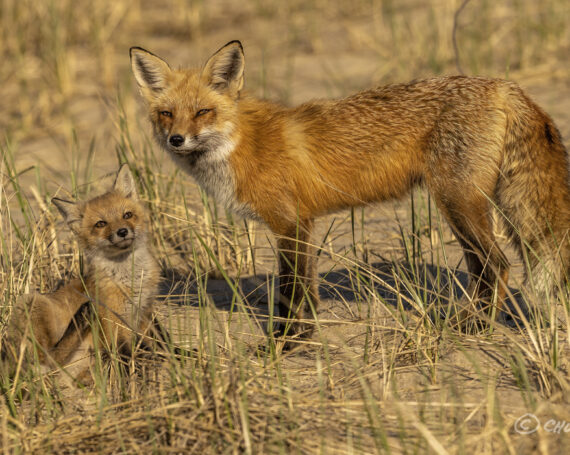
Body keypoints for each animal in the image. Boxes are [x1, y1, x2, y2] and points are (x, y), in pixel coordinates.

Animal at [129, 41, 568, 342]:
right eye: (166, 114)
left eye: (203, 112)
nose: (177, 140)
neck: (240, 144)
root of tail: (502, 85)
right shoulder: (302, 224)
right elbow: (305, 290)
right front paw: (303, 335)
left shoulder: (289, 223)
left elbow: (291, 289)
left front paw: (286, 341)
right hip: (462, 208)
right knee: (483, 268)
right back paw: (473, 320)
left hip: (457, 202)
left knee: (499, 264)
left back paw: (476, 326)